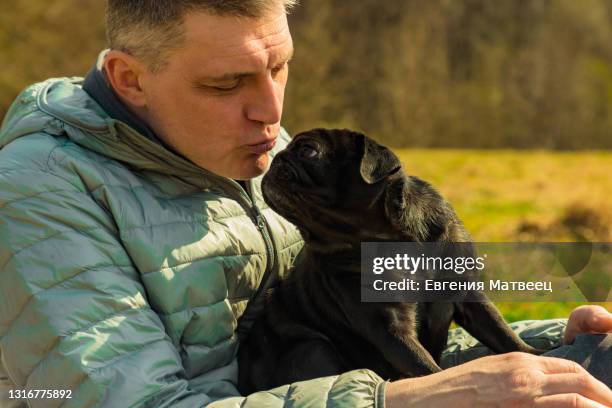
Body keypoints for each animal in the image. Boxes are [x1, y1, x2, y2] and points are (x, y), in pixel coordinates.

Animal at [237, 129, 536, 394]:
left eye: (308, 150)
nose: (276, 159)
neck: (392, 239)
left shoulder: (468, 295)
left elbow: (503, 333)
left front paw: (537, 354)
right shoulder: (391, 330)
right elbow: (430, 369)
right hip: (313, 349)